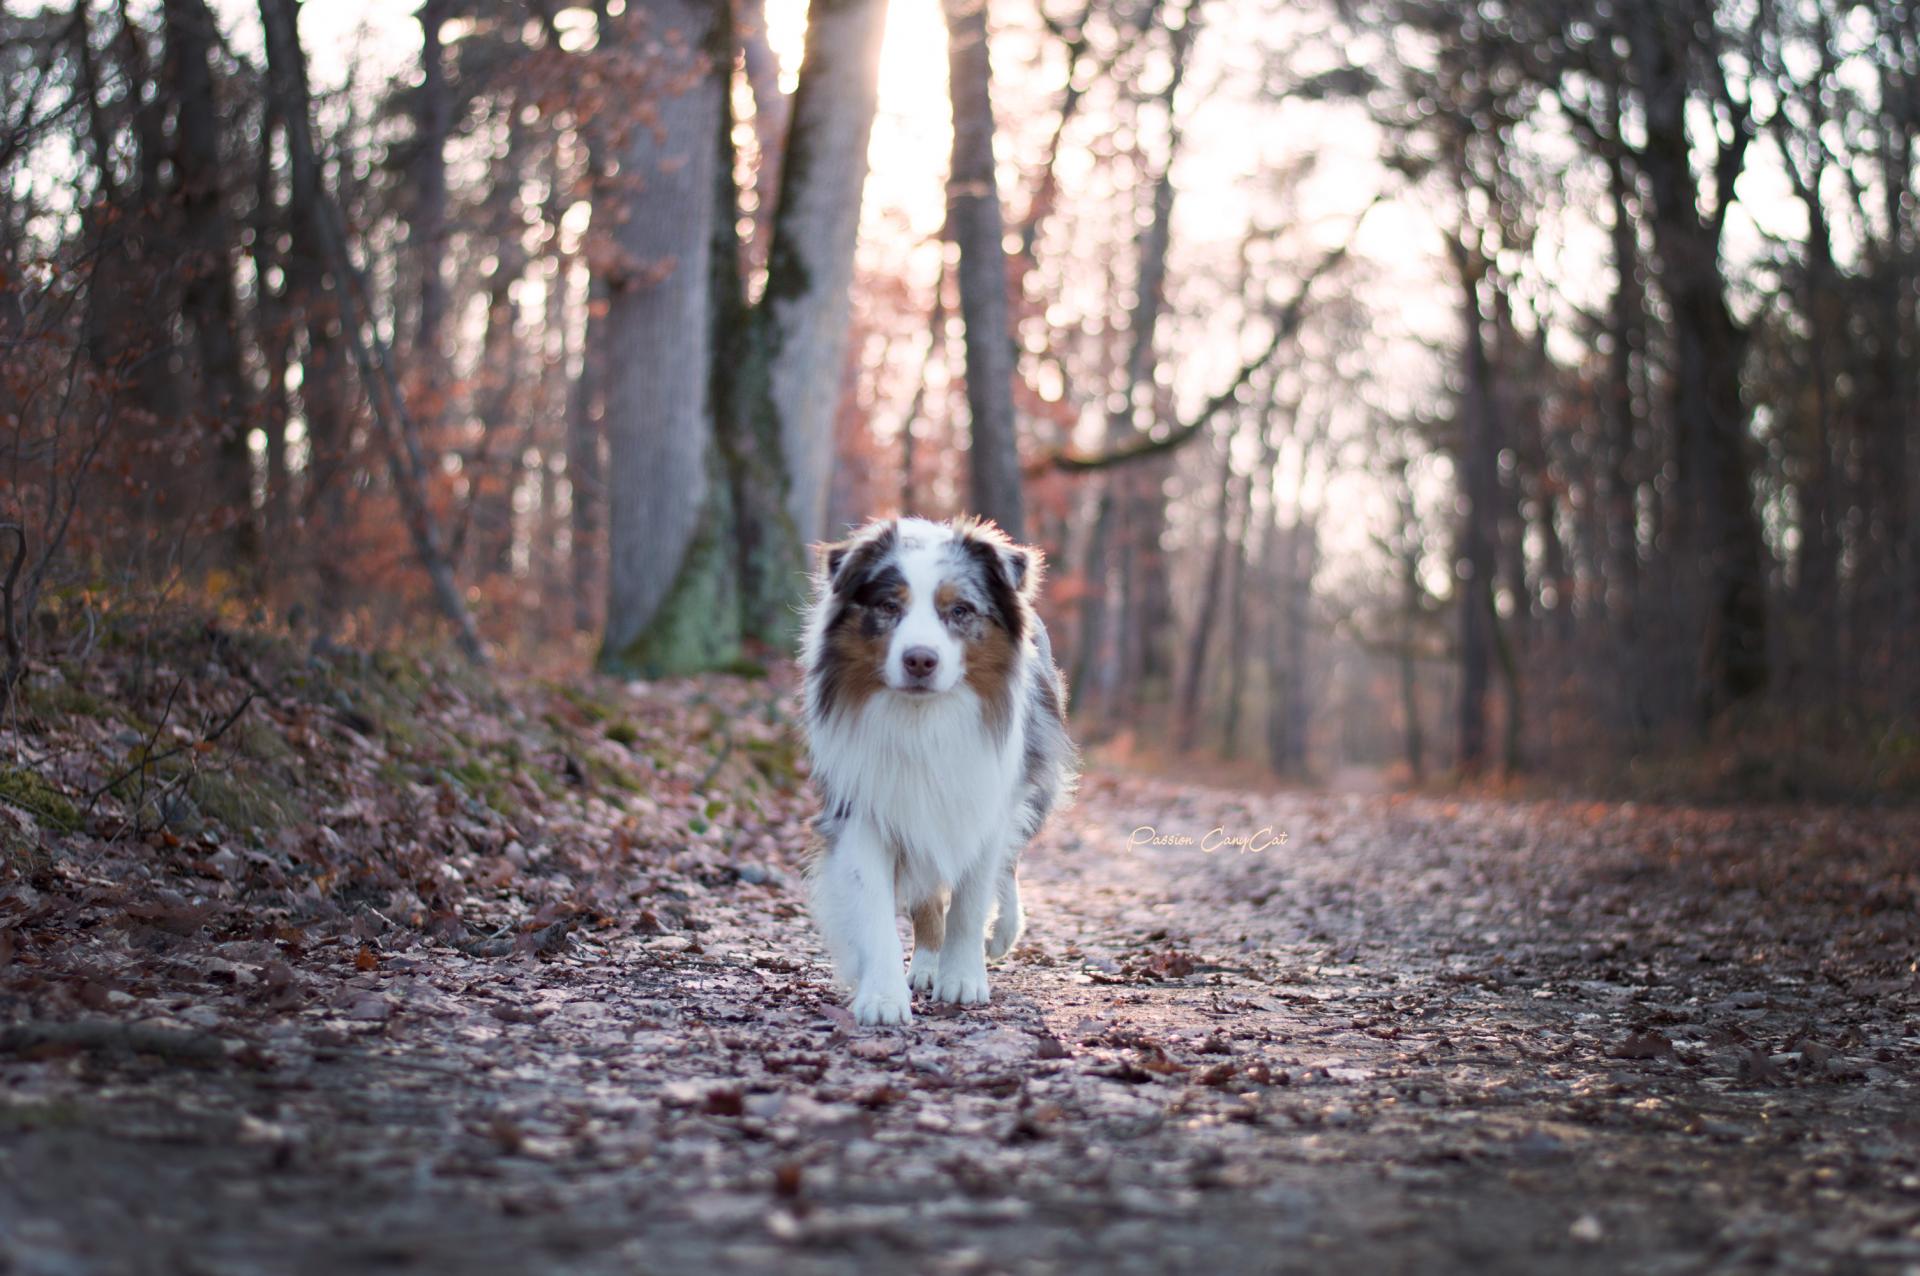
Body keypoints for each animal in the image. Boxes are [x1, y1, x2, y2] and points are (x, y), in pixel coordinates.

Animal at [791, 514, 1067, 1020]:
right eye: (888, 605)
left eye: (959, 610)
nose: (920, 659)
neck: (923, 719)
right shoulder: (864, 806)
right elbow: (878, 906)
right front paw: (883, 995)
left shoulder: (986, 801)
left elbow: (971, 901)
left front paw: (963, 978)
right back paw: (923, 964)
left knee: (1009, 865)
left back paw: (1002, 933)